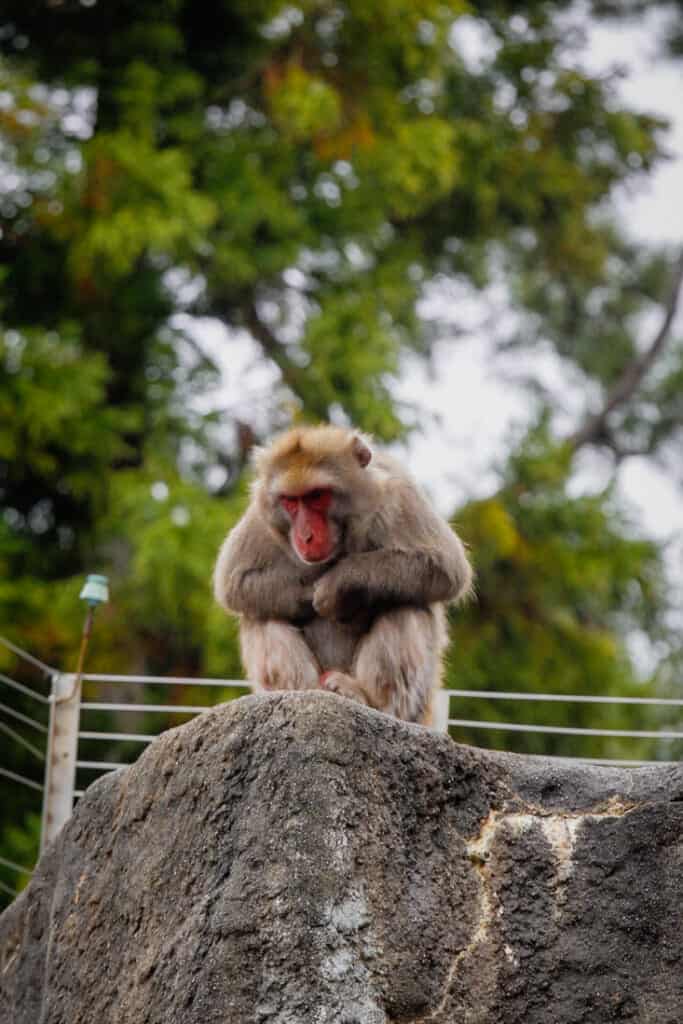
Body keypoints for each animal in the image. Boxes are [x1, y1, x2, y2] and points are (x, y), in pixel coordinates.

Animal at [213, 424, 472, 725]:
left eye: (317, 496)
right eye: (290, 502)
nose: (306, 536)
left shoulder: (398, 492)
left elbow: (447, 567)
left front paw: (338, 585)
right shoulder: (260, 516)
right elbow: (234, 584)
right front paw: (309, 591)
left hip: (418, 706)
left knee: (406, 605)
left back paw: (366, 699)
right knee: (262, 615)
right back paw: (301, 693)